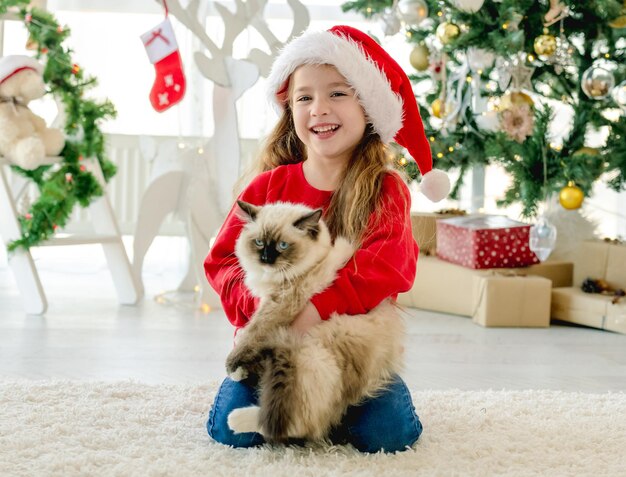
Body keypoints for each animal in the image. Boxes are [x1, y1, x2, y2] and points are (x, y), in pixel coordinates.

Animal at [224, 201, 404, 442]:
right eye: (259, 243)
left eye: (282, 245)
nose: (266, 259)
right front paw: (240, 369)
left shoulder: (280, 303)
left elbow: (253, 333)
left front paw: (233, 367)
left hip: (311, 358)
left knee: (299, 422)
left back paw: (235, 418)